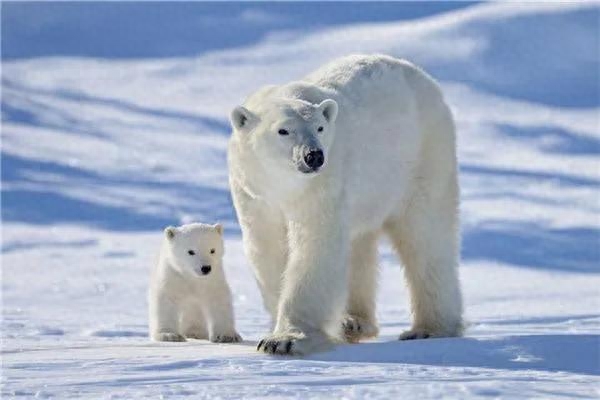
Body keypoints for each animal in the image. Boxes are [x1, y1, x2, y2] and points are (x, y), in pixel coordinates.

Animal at [227, 54, 462, 356]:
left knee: (425, 236)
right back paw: (354, 322)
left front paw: (286, 340)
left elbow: (315, 247)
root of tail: (421, 75)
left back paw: (429, 329)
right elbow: (269, 249)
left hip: (422, 157)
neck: (284, 185)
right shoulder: (255, 195)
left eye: (320, 128)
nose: (314, 156)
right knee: (359, 245)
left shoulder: (322, 186)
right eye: (283, 130)